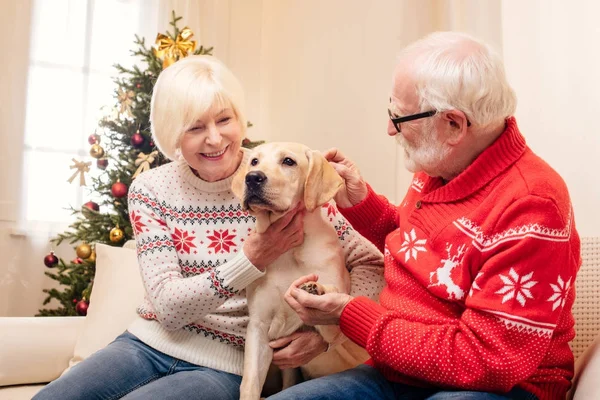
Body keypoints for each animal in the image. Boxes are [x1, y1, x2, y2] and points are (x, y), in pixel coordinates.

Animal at [232, 142, 368, 398]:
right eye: (254, 161)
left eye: (288, 161)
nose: (252, 178)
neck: (289, 251)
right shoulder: (259, 327)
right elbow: (250, 382)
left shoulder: (334, 331)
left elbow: (332, 299)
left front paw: (317, 289)